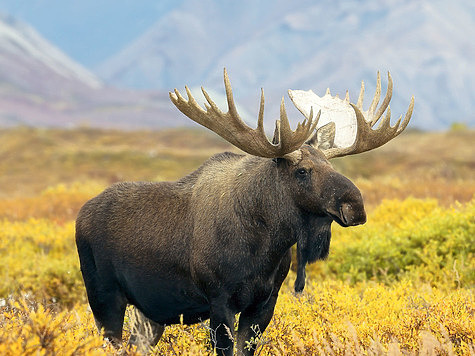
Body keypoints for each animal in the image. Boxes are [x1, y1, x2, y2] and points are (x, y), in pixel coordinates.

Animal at [74, 68, 412, 354]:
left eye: (332, 165)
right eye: (302, 171)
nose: (355, 206)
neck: (267, 245)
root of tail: (80, 215)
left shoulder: (264, 303)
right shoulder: (219, 301)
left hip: (148, 313)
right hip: (104, 297)